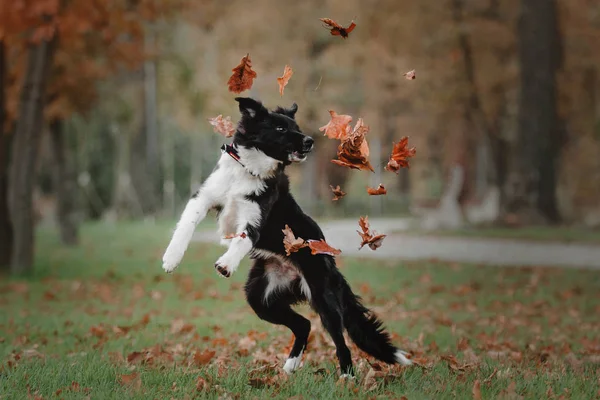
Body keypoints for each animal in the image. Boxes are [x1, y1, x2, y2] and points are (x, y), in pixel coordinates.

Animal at [162, 97, 410, 376]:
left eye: (297, 128)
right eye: (280, 129)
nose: (309, 141)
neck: (248, 170)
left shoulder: (255, 218)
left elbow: (243, 238)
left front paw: (226, 264)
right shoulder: (204, 197)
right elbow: (187, 224)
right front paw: (171, 257)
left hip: (323, 297)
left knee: (340, 341)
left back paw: (347, 376)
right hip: (261, 298)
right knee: (303, 324)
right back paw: (291, 366)